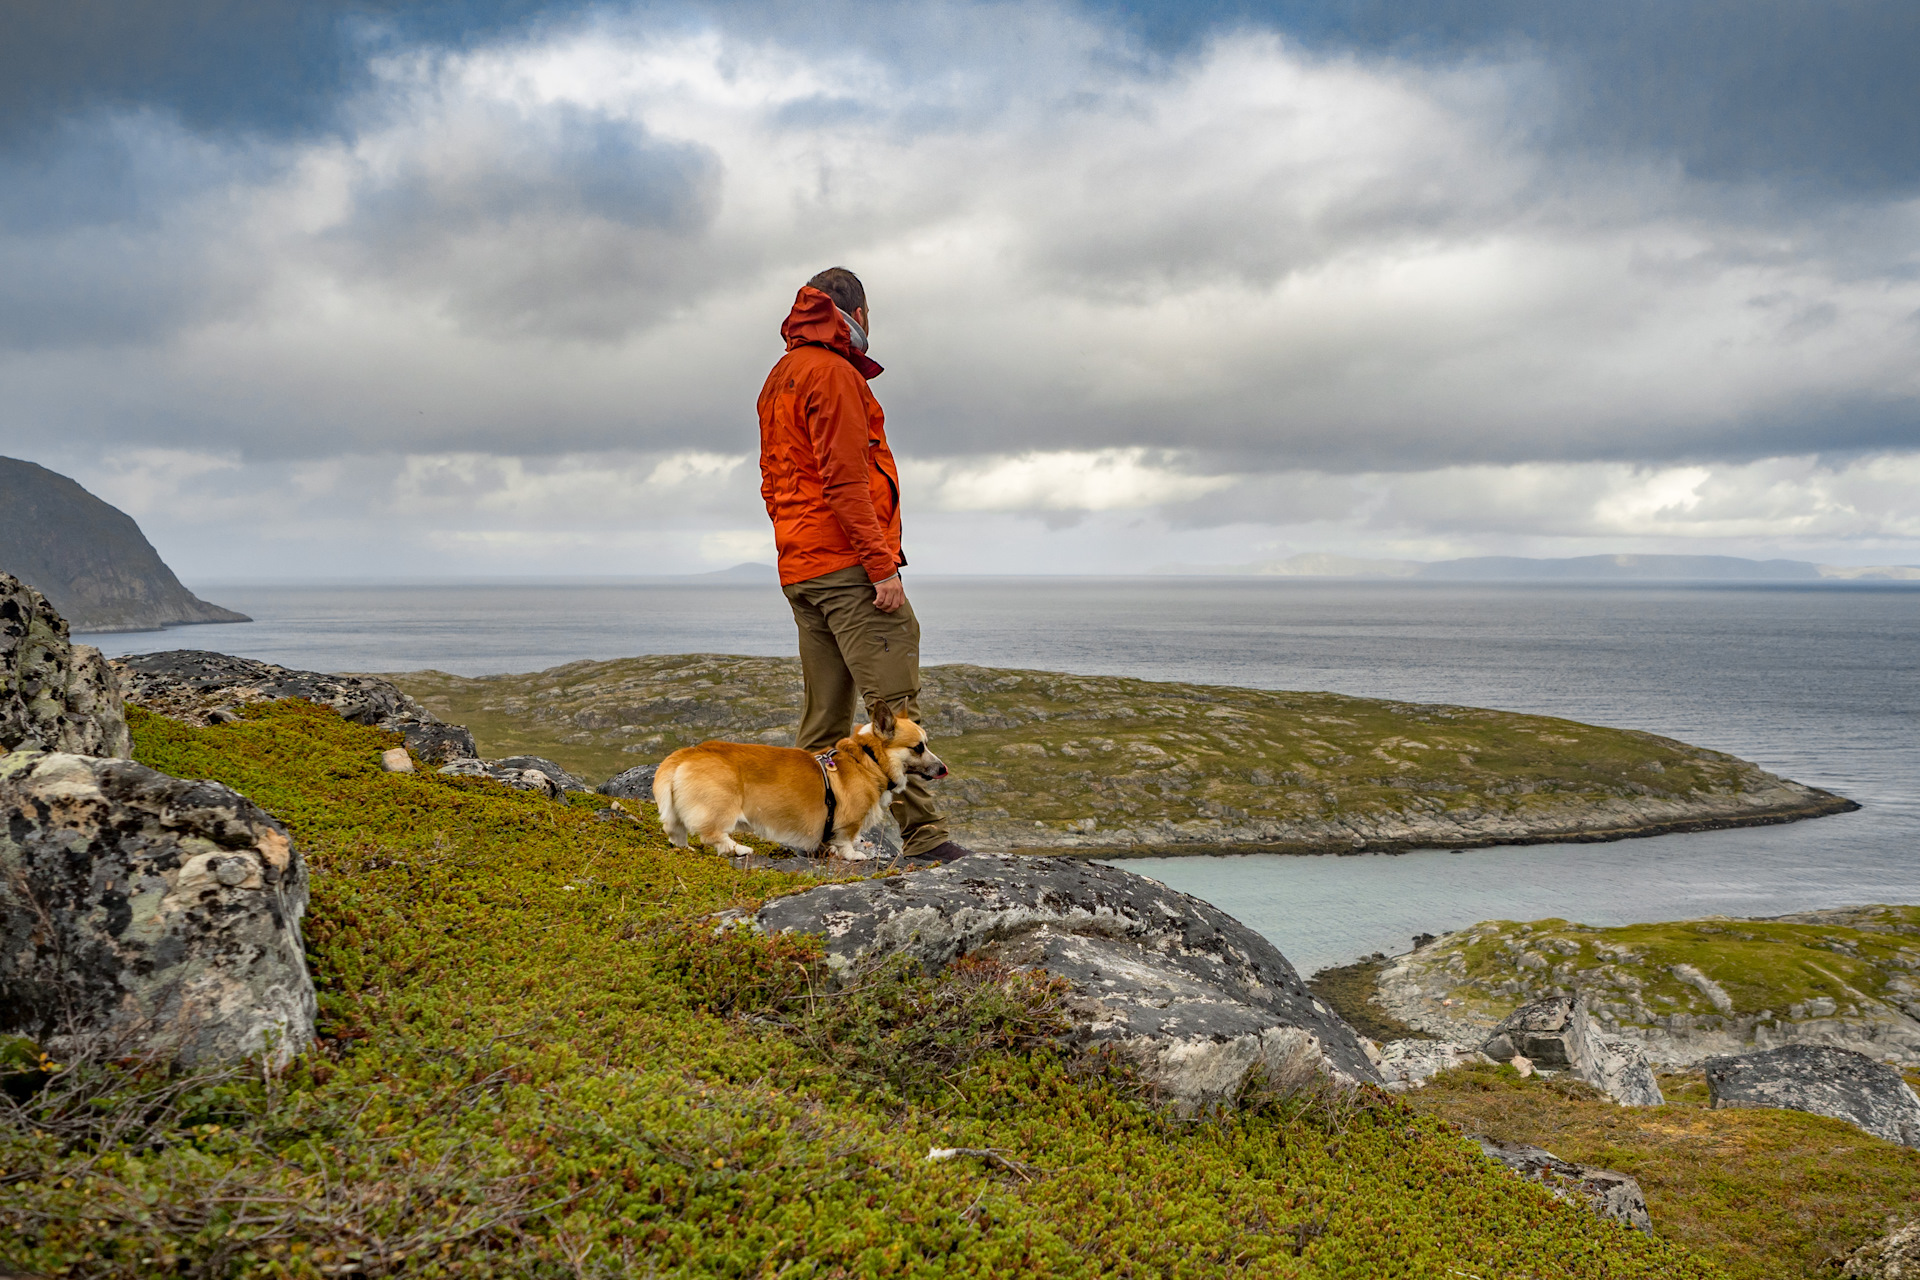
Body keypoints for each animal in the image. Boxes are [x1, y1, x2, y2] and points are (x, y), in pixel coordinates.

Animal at [652, 702, 944, 859]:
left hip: (676, 814)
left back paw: (686, 850)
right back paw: (740, 849)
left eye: (926, 743)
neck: (868, 759)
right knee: (712, 835)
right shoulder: (849, 822)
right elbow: (847, 841)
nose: (943, 769)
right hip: (721, 807)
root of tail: (685, 754)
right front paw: (854, 855)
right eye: (918, 747)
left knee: (675, 833)